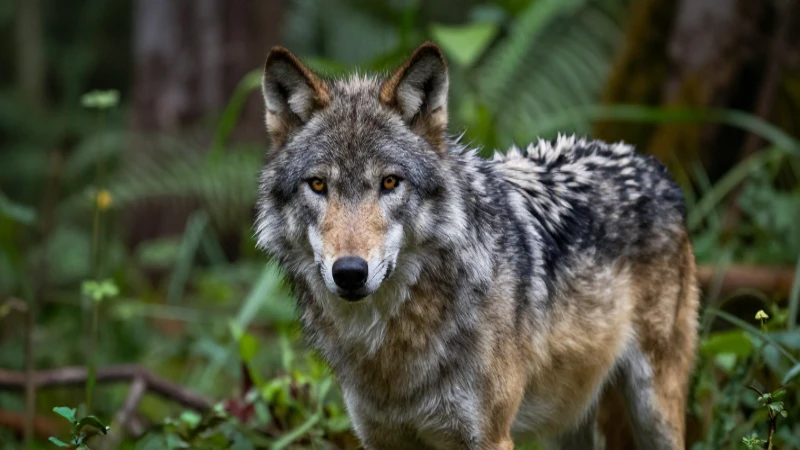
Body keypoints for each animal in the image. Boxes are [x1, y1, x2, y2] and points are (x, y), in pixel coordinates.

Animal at [254, 41, 699, 450]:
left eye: (390, 182)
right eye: (317, 185)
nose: (349, 272)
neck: (392, 352)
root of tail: (649, 163)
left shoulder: (490, 436)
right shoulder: (380, 438)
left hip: (655, 408)